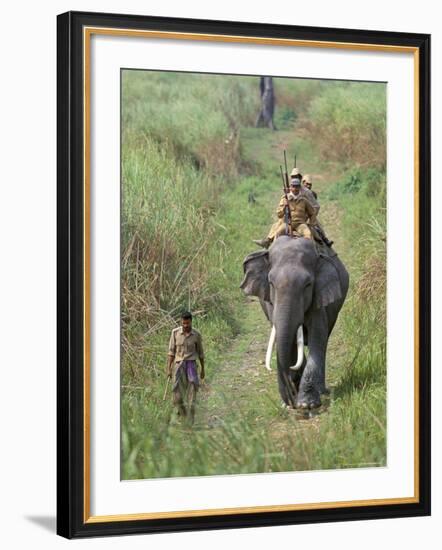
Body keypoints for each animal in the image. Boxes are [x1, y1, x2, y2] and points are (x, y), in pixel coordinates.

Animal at [242, 237, 348, 410]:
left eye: (308, 285)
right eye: (271, 283)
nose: (290, 401)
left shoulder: (318, 299)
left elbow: (317, 337)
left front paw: (307, 404)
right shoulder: (271, 304)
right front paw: (294, 398)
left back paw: (321, 390)